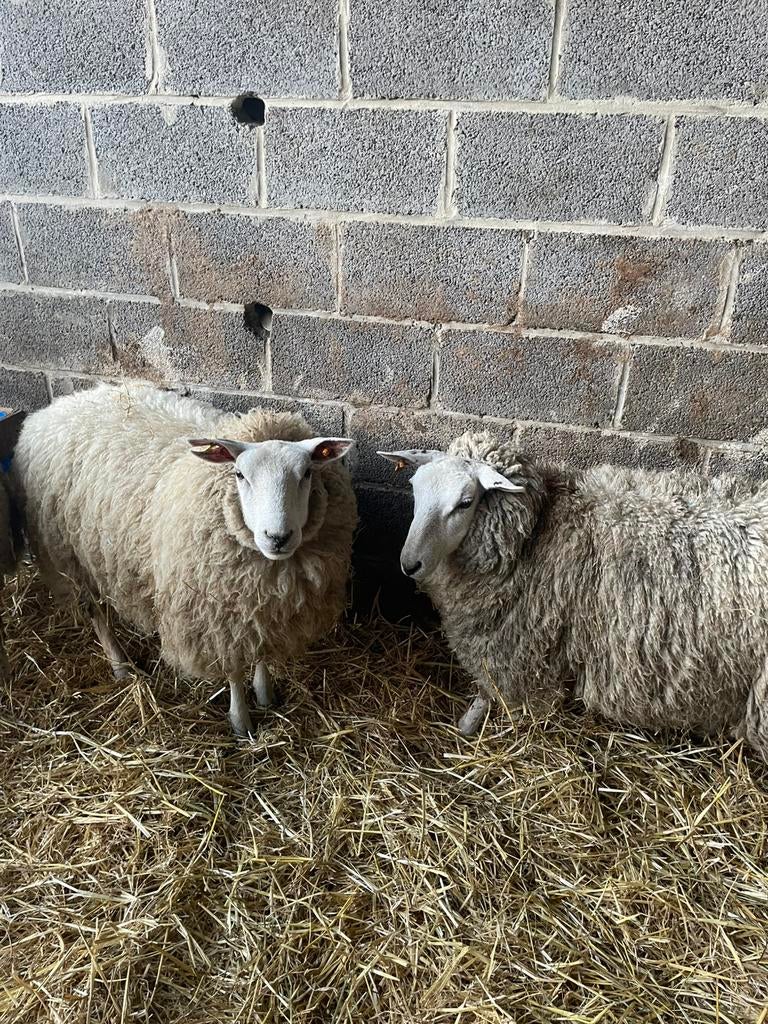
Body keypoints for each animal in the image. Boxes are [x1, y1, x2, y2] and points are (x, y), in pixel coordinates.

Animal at [13, 384, 356, 735]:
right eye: (239, 474)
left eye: (307, 473)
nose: (278, 537)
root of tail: (58, 405)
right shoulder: (214, 615)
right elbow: (232, 670)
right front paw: (241, 721)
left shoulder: (257, 604)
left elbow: (260, 650)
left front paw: (265, 694)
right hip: (68, 556)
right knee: (94, 612)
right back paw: (121, 665)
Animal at [379, 431, 768, 760]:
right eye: (414, 489)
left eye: (465, 502)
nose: (409, 563)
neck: (532, 534)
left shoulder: (519, 650)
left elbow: (497, 693)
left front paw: (469, 724)